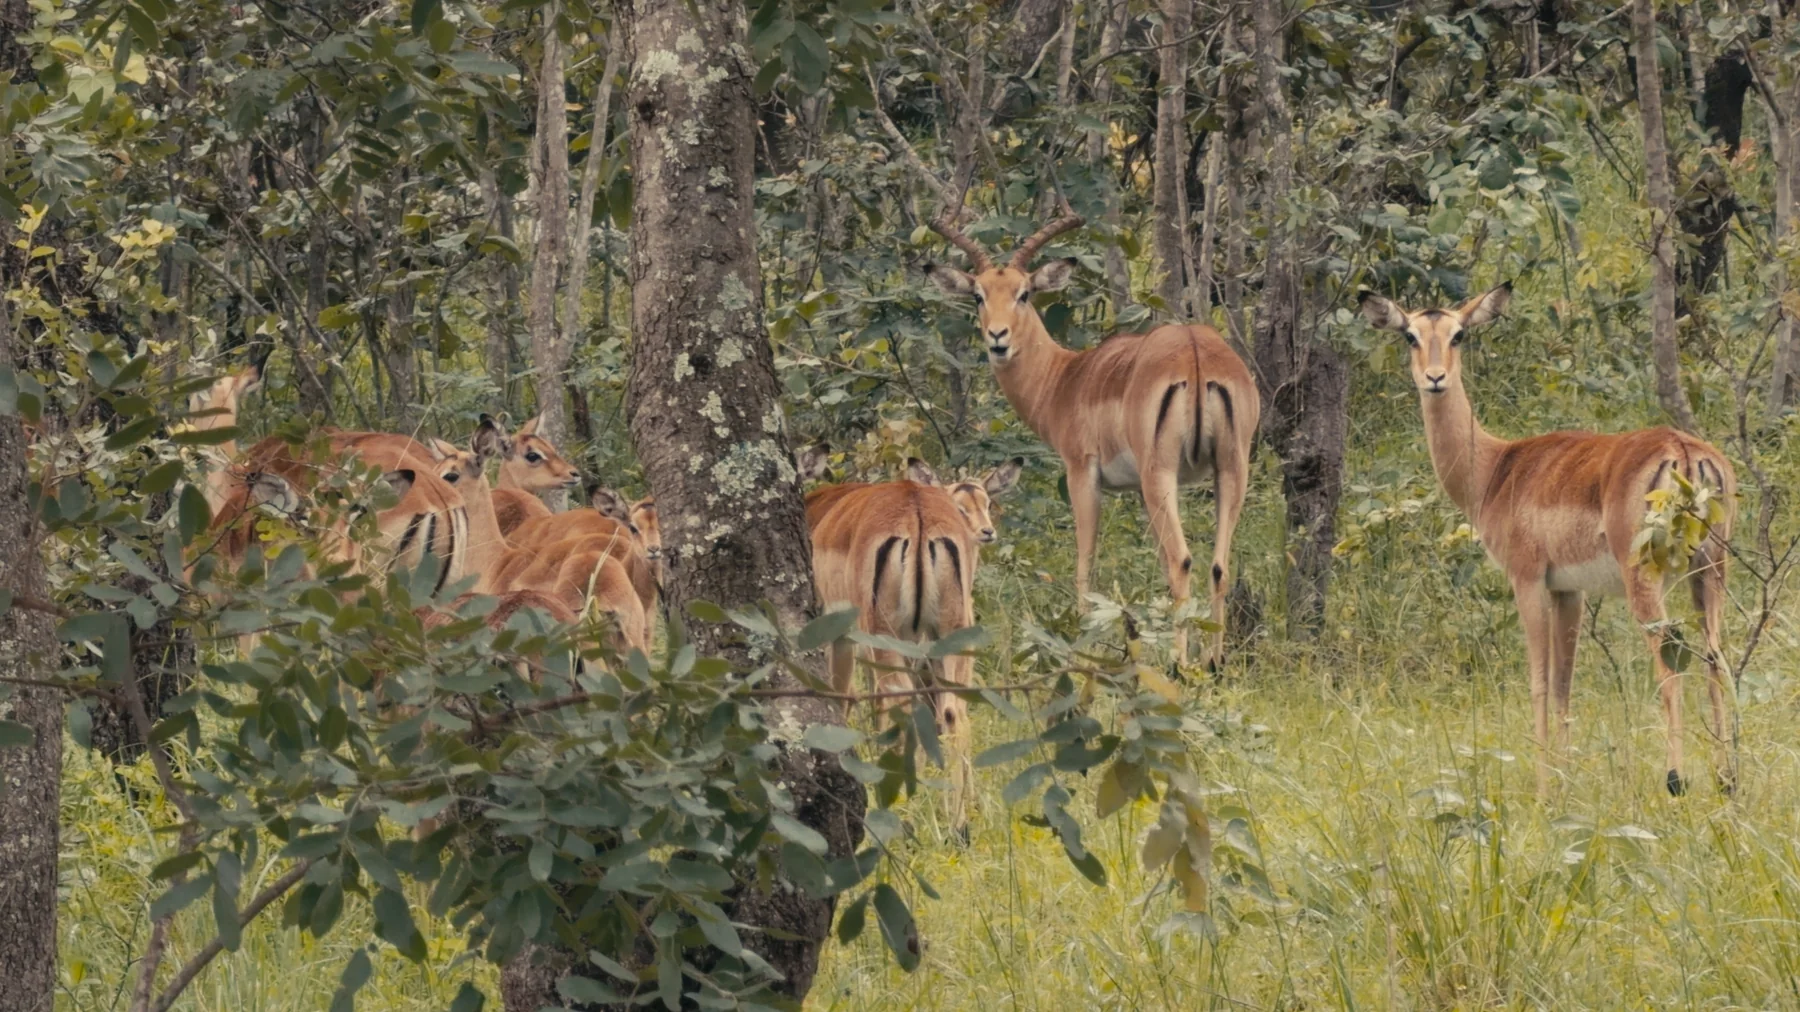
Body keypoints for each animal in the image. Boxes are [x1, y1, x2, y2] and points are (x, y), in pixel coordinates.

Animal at [804, 454, 1022, 834]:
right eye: (964, 506)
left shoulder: (841, 637)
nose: (987, 532)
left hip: (887, 640)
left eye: (987, 504)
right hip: (946, 641)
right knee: (952, 714)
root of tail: (916, 511)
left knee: (903, 709)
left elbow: (844, 699)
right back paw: (957, 825)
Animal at [925, 206, 1260, 670]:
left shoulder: (1081, 470)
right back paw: (1213, 661)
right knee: (1217, 565)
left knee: (1183, 560)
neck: (1067, 379)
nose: (998, 338)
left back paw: (1179, 664)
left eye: (1024, 293)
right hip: (1230, 469)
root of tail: (1196, 354)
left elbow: (1085, 560)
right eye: (978, 294)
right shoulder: (1139, 490)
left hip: (1162, 472)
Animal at [1360, 284, 1737, 795]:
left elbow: (1538, 681)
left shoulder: (1528, 579)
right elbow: (1564, 682)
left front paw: (1543, 789)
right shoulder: (1569, 590)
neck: (1496, 470)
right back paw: (1727, 780)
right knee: (1716, 658)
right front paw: (1565, 779)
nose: (1435, 378)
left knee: (1669, 665)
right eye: (1410, 336)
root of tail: (1683, 452)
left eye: (1459, 334)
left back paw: (1676, 780)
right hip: (1710, 570)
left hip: (1646, 578)